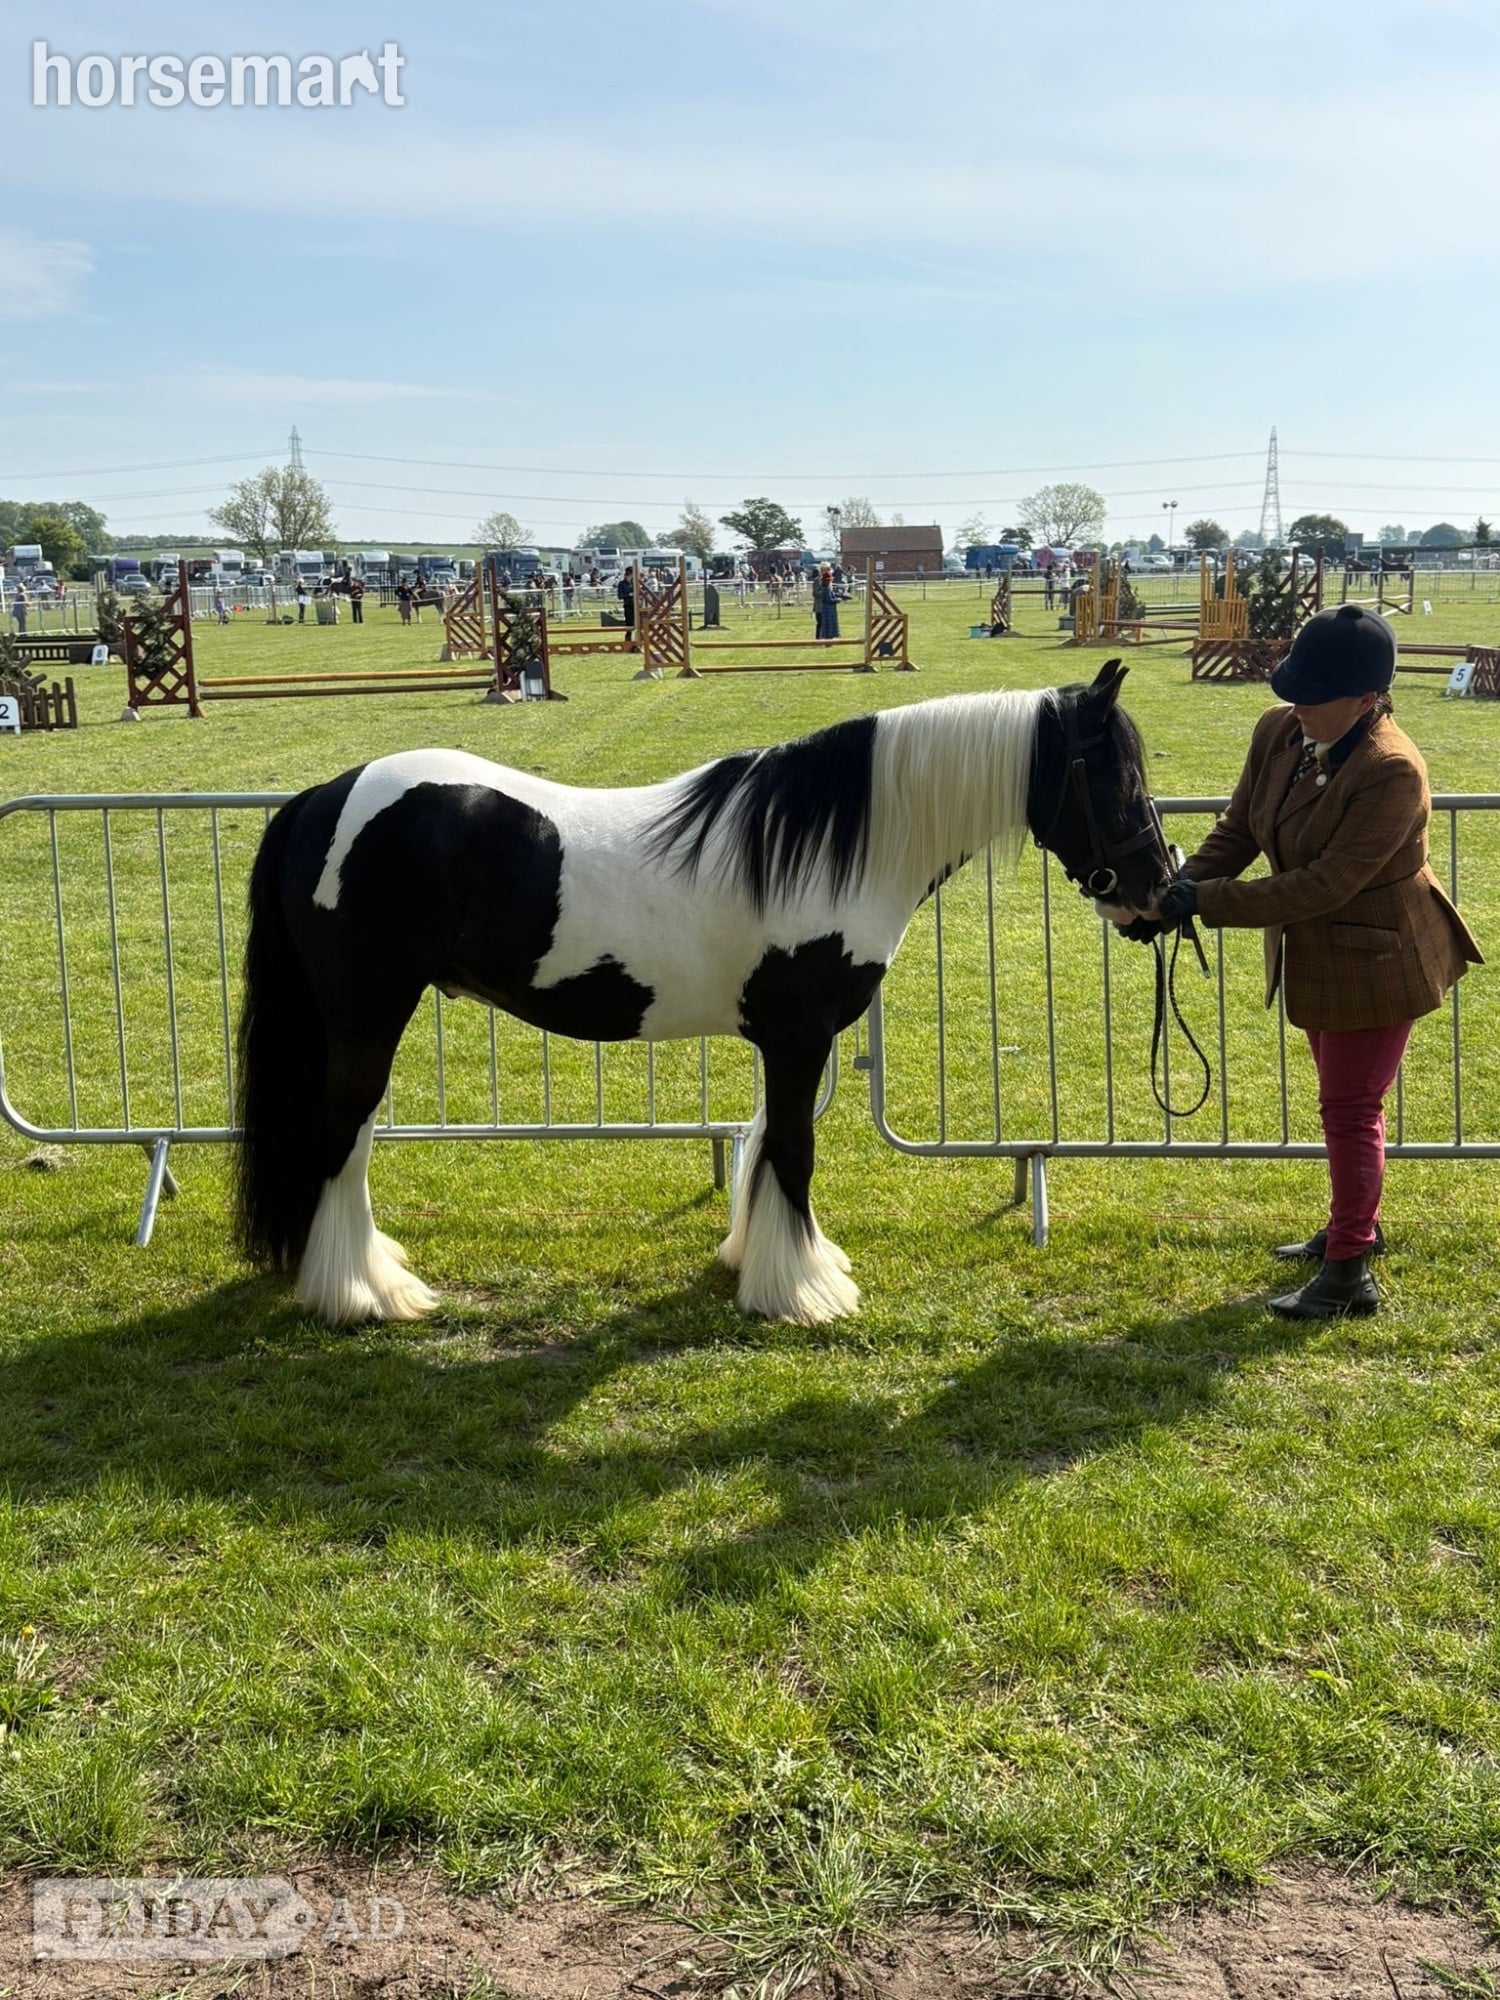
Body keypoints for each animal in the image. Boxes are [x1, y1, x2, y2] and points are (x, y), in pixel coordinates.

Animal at [234, 659, 1169, 1328]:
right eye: (1117, 778)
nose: (1158, 894)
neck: (835, 847)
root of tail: (322, 799)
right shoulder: (800, 1036)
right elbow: (793, 1150)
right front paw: (803, 1292)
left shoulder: (782, 1041)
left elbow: (764, 1147)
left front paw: (759, 1262)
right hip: (368, 1014)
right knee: (343, 1136)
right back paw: (365, 1294)